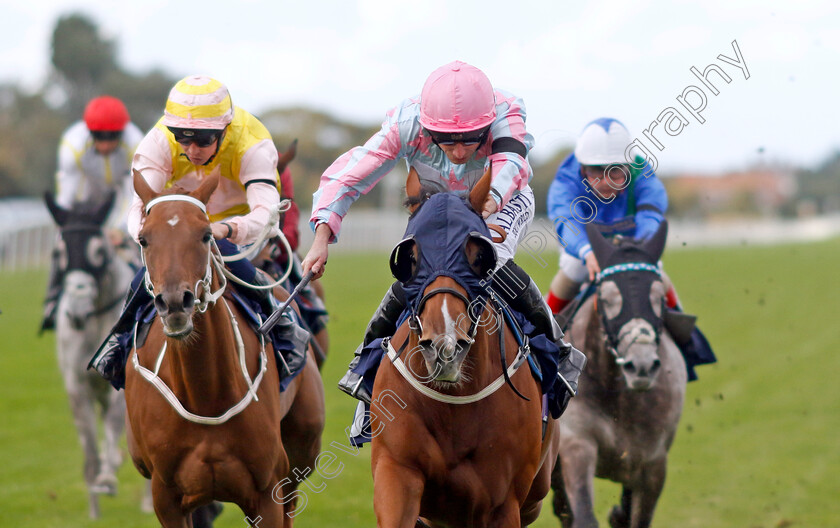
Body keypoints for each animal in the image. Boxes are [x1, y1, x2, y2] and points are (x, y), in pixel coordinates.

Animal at [44, 191, 140, 520]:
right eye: (58, 252)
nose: (76, 312)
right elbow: (88, 445)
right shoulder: (77, 385)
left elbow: (113, 425)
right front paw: (94, 506)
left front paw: (108, 478)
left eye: (98, 250)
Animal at [127, 171, 324, 524]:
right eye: (143, 239)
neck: (205, 395)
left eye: (206, 235)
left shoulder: (267, 490)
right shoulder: (166, 498)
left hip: (302, 446)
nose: (175, 303)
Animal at [370, 169, 556, 528]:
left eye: (479, 258)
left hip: (536, 494)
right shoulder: (397, 471)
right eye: (409, 259)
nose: (445, 347)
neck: (453, 408)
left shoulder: (503, 504)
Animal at [552, 223, 688, 528]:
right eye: (606, 298)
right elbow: (583, 516)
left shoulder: (653, 464)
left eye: (659, 297)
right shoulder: (577, 443)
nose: (641, 365)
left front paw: (618, 514)